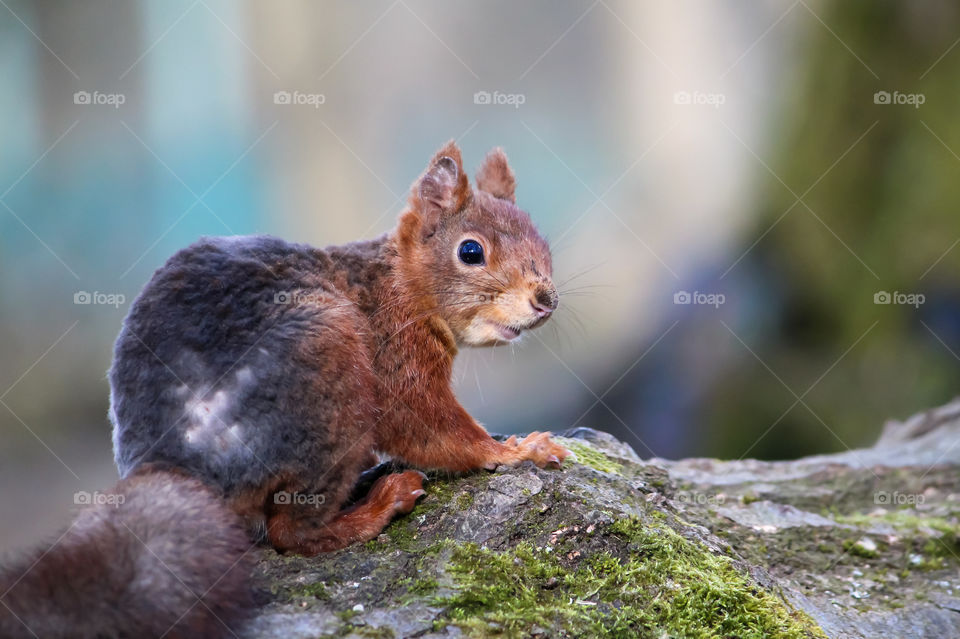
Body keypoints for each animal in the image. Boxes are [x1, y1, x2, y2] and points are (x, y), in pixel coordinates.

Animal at [0, 145, 568, 639]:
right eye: (470, 251)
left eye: (542, 243)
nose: (546, 300)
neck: (399, 284)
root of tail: (180, 467)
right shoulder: (395, 358)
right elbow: (428, 426)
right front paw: (515, 450)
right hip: (330, 369)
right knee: (291, 534)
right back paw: (379, 504)